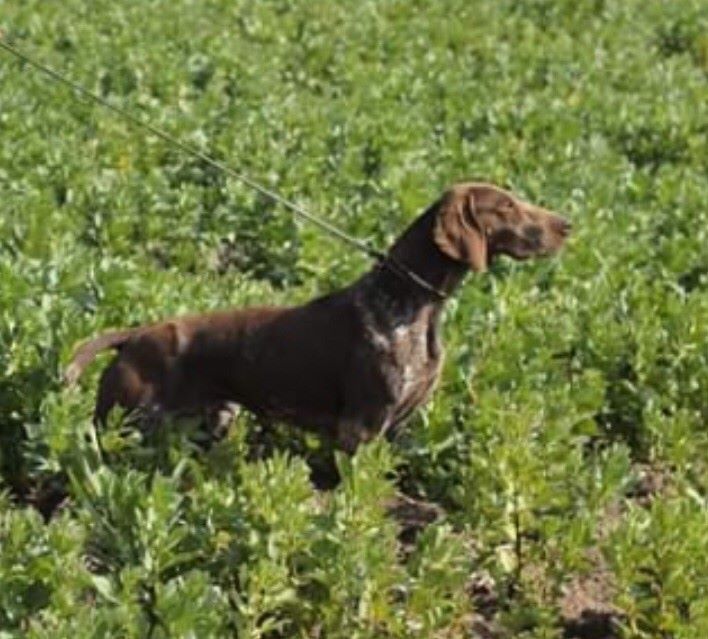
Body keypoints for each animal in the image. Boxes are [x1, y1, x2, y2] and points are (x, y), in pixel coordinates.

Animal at [62, 184, 568, 456]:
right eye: (505, 206)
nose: (567, 224)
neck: (414, 306)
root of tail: (134, 335)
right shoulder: (359, 430)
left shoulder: (395, 428)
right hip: (122, 425)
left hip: (211, 420)